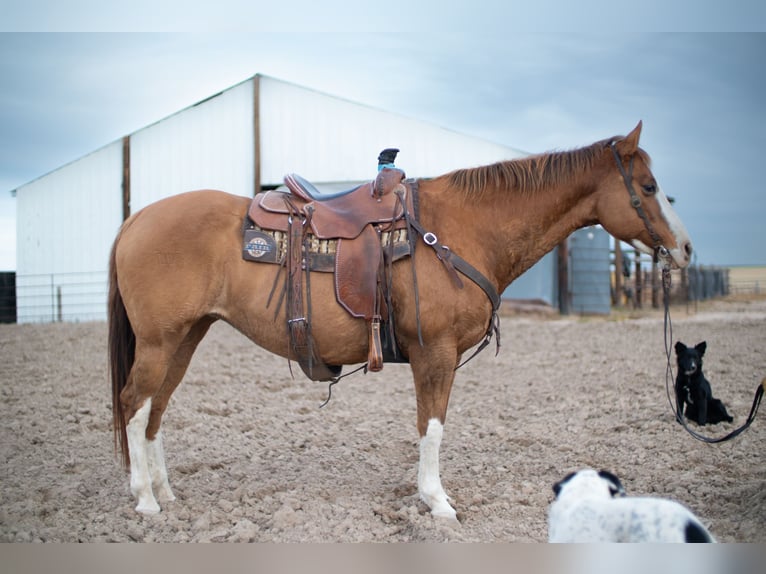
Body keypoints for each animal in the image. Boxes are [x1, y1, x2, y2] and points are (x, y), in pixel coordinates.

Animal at [109, 121, 696, 520]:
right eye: (647, 187)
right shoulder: (435, 353)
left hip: (186, 337)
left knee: (155, 408)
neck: (461, 229)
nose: (686, 249)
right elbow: (431, 426)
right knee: (134, 403)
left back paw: (165, 492)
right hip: (161, 340)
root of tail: (135, 220)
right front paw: (436, 501)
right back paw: (144, 499)